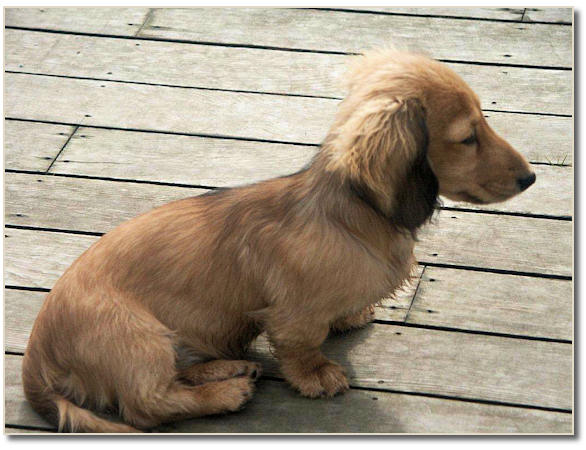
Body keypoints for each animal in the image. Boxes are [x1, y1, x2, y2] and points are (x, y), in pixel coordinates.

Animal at [21, 50, 532, 432]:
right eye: (467, 137)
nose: (530, 178)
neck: (351, 214)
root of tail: (36, 355)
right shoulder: (292, 313)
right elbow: (300, 344)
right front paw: (317, 375)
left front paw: (349, 317)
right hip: (137, 338)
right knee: (149, 405)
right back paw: (226, 392)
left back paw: (225, 368)